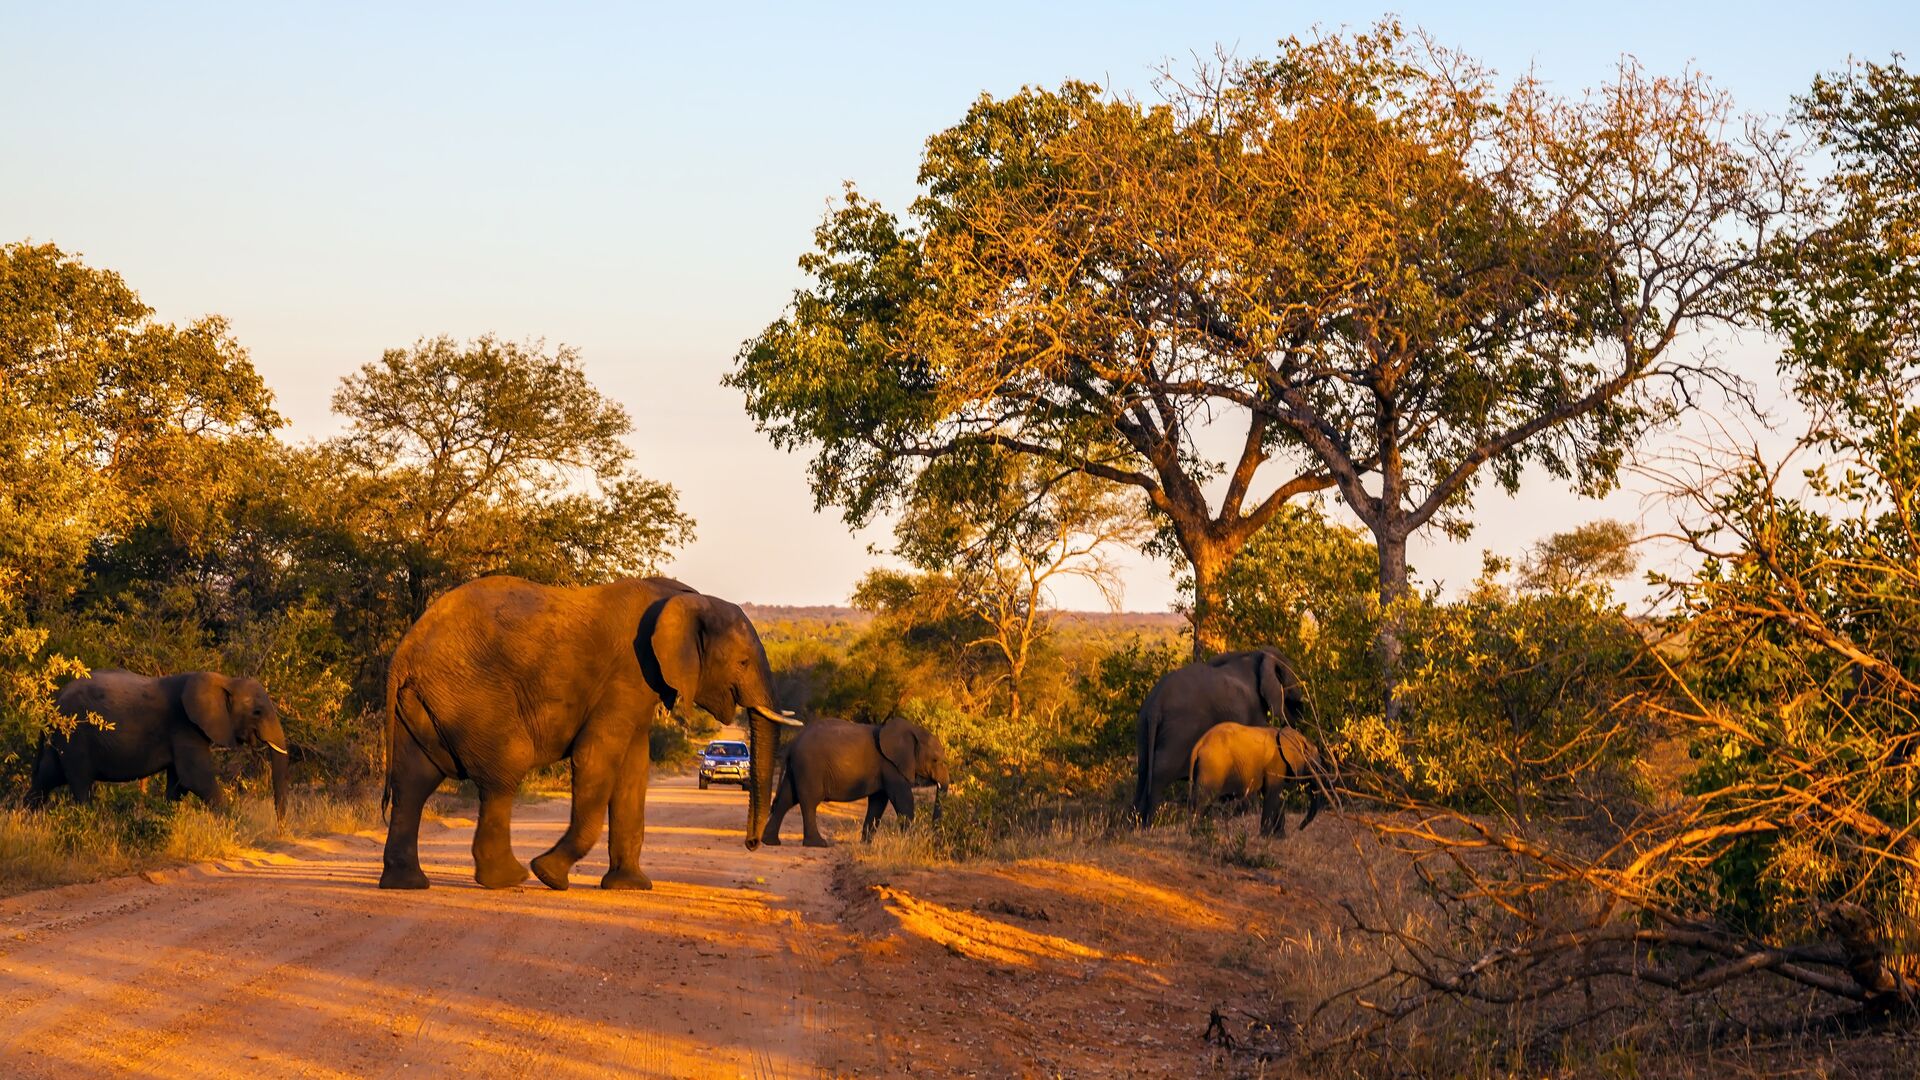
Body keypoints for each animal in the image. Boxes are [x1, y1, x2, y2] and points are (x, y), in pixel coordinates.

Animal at [27, 664, 288, 814]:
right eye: (257, 712)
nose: (281, 830)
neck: (226, 680)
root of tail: (54, 699)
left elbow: (179, 783)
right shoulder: (184, 725)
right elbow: (196, 778)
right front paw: (236, 828)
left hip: (61, 737)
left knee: (46, 777)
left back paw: (27, 819)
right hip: (75, 737)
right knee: (80, 783)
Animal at [378, 576, 798, 887]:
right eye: (742, 662)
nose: (752, 843)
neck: (689, 600)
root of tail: (405, 652)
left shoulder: (640, 686)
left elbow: (633, 773)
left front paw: (629, 887)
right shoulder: (628, 674)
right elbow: (596, 759)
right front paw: (550, 875)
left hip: (428, 701)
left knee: (413, 781)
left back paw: (408, 884)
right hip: (471, 692)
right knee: (502, 773)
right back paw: (510, 879)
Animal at [1128, 645, 1313, 822]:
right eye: (1291, 675)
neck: (1256, 653)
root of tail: (1156, 705)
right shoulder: (1254, 708)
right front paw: (1251, 812)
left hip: (1143, 725)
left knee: (1143, 769)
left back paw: (1134, 823)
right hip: (1179, 729)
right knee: (1161, 771)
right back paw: (1148, 824)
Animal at [1190, 718, 1328, 837]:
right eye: (1314, 767)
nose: (1299, 828)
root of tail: (1198, 745)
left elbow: (1279, 797)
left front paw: (1279, 837)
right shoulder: (1276, 764)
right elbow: (1272, 795)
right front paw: (1265, 837)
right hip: (1212, 767)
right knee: (1204, 801)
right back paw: (1197, 834)